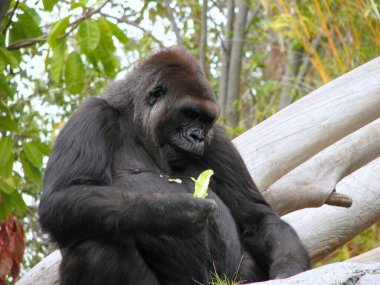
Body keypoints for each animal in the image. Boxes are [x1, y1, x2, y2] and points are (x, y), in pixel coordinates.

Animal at [40, 48, 310, 284]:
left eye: (205, 120)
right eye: (189, 114)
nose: (197, 137)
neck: (139, 127)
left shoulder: (218, 141)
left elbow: (256, 217)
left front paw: (289, 270)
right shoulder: (92, 115)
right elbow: (63, 197)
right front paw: (173, 211)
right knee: (94, 247)